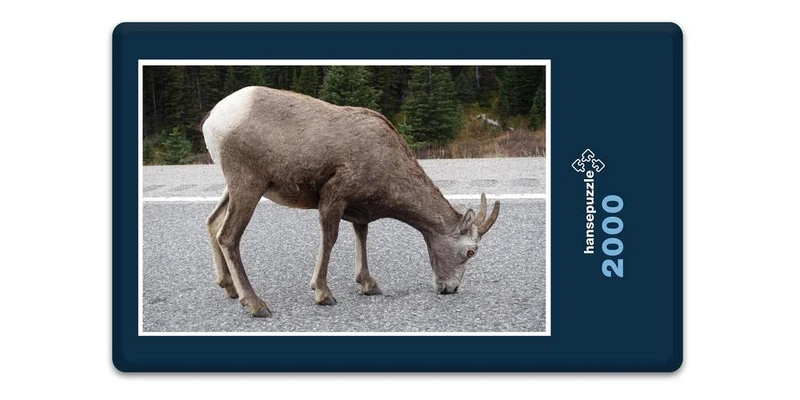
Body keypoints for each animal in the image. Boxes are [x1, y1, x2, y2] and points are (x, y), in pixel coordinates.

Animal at [202, 86, 500, 317]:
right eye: (470, 252)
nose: (450, 289)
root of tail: (213, 119)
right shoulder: (334, 196)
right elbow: (329, 240)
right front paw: (323, 294)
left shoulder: (358, 210)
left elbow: (362, 236)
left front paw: (369, 285)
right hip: (248, 185)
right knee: (228, 236)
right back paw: (256, 305)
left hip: (234, 188)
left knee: (213, 223)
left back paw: (229, 289)